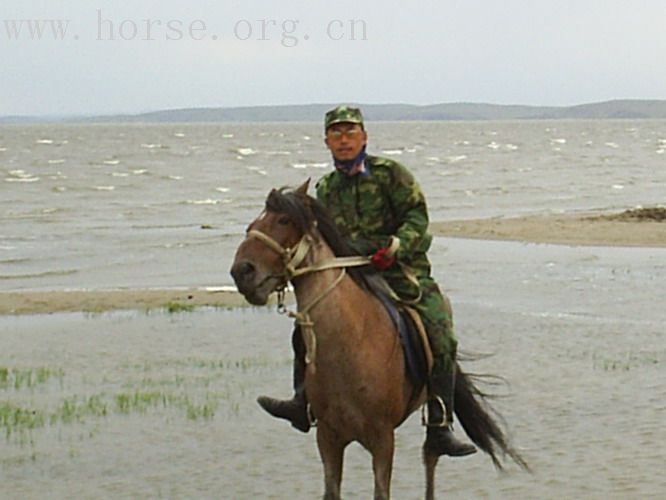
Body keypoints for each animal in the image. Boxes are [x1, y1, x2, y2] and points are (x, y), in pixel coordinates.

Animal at [231, 182, 528, 498]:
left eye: (283, 221)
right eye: (251, 226)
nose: (241, 271)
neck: (349, 347)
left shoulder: (382, 439)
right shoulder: (328, 437)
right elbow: (331, 490)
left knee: (431, 459)